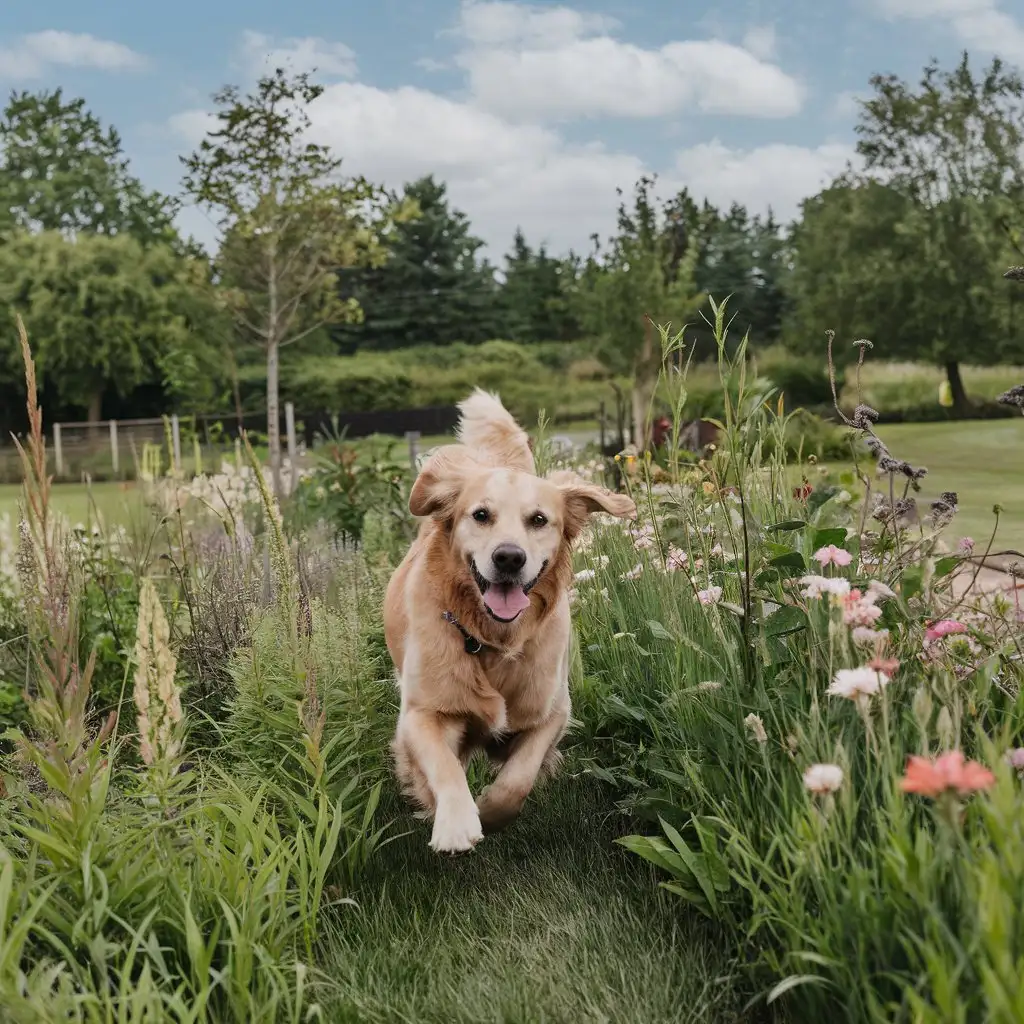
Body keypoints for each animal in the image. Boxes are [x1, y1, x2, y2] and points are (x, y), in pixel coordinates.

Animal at [385, 387, 634, 851]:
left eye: (538, 520)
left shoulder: (553, 710)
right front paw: (454, 821)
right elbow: (443, 765)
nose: (509, 558)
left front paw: (490, 810)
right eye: (480, 515)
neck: (492, 639)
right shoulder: (421, 712)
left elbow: (518, 779)